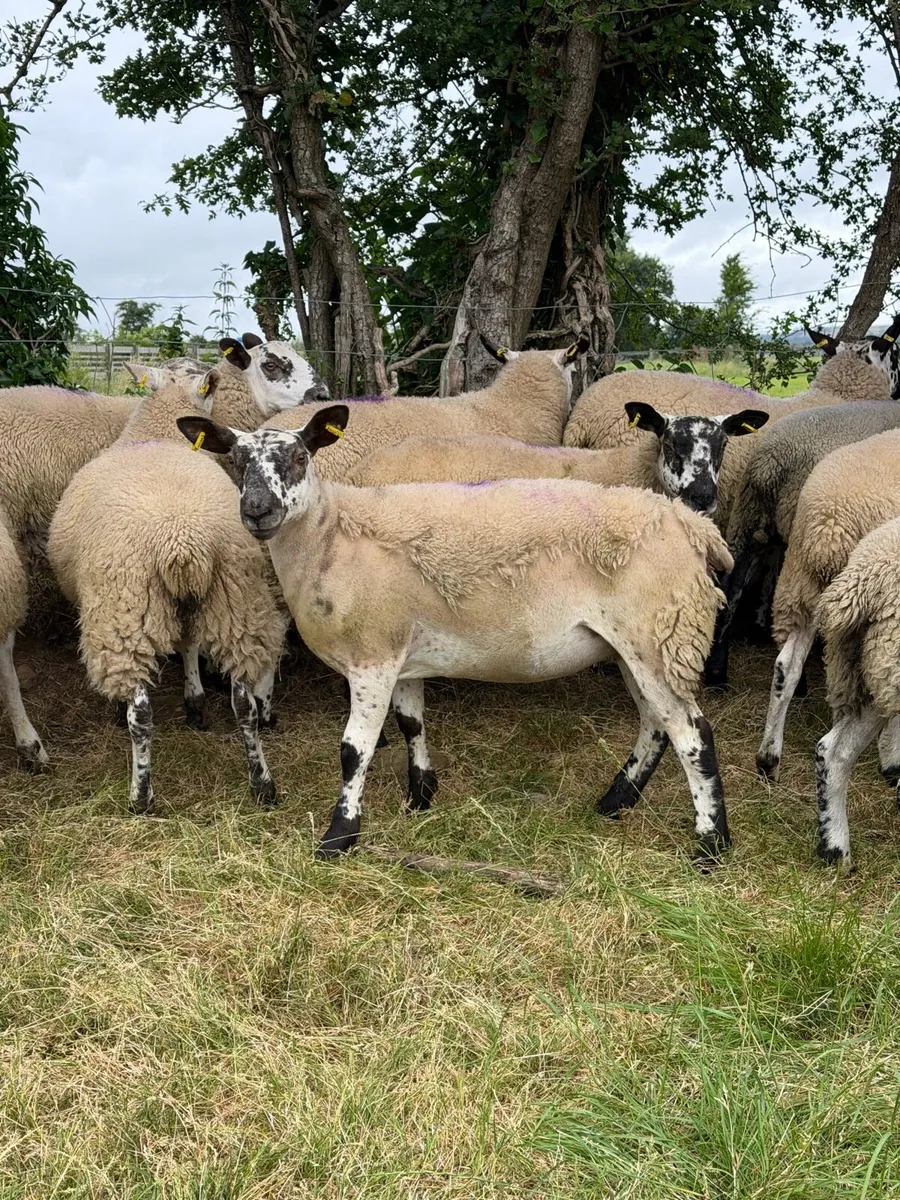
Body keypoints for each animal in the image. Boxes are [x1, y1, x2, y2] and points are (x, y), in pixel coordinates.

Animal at [47, 371, 286, 813]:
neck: (156, 434)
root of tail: (183, 540)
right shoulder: (191, 602)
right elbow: (189, 645)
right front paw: (195, 702)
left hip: (124, 613)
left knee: (141, 715)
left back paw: (140, 794)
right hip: (235, 601)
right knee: (244, 703)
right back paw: (262, 783)